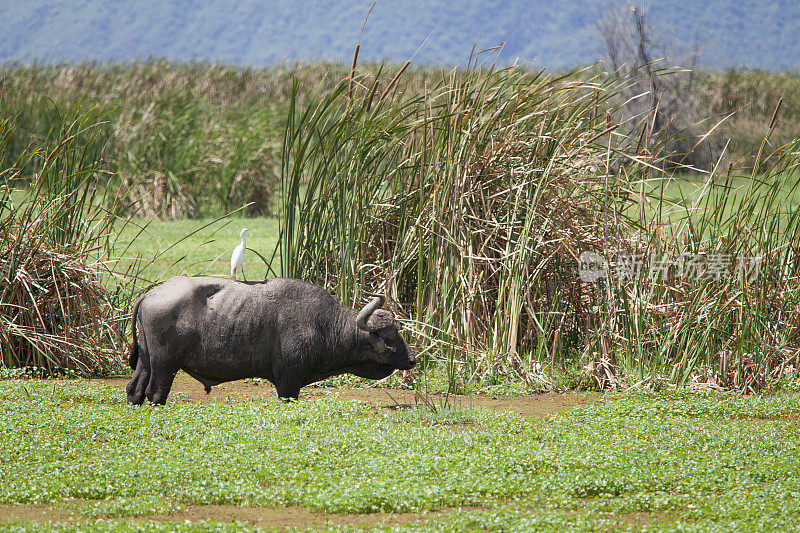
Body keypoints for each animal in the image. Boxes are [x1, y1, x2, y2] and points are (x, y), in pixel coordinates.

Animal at [126, 276, 418, 406]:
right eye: (389, 336)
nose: (412, 360)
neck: (324, 324)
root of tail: (151, 293)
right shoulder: (289, 382)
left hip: (146, 362)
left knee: (134, 390)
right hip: (165, 366)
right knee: (155, 393)